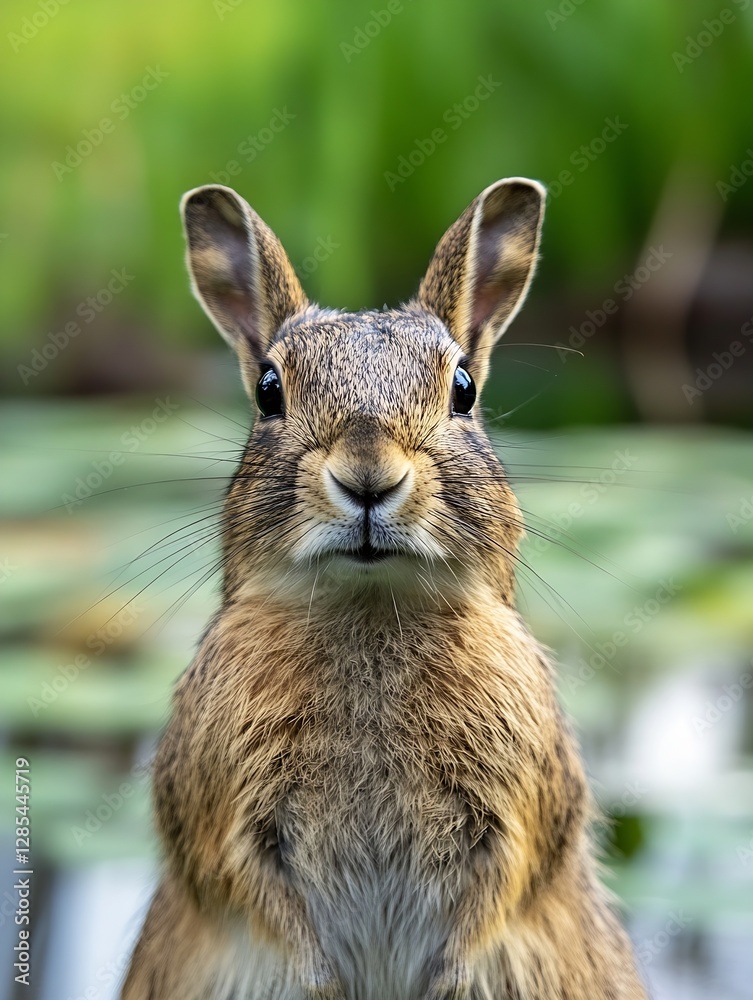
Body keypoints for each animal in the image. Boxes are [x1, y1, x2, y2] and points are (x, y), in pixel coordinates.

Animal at [120, 178, 648, 1000]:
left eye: (463, 388)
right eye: (269, 391)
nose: (368, 474)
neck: (369, 607)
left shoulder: (518, 813)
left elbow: (495, 898)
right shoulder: (223, 813)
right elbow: (257, 898)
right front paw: (327, 987)